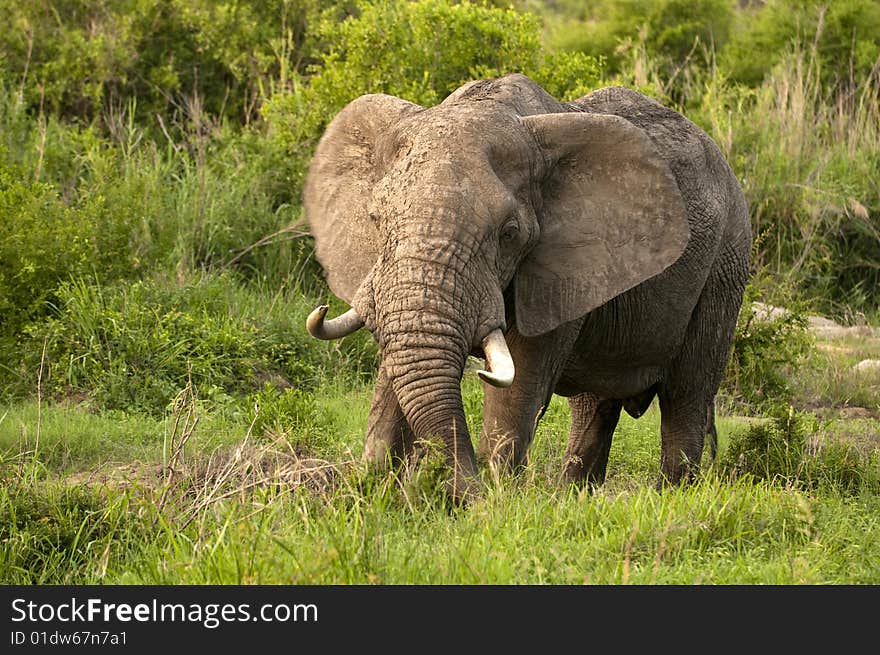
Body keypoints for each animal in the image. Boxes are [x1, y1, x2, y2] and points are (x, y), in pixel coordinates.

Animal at [300, 73, 748, 502]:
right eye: (375, 219)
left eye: (509, 233)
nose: (460, 491)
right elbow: (395, 373)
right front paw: (369, 488)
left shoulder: (560, 266)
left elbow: (520, 381)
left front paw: (494, 500)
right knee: (594, 406)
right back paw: (573, 495)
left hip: (725, 266)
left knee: (685, 397)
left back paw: (673, 495)